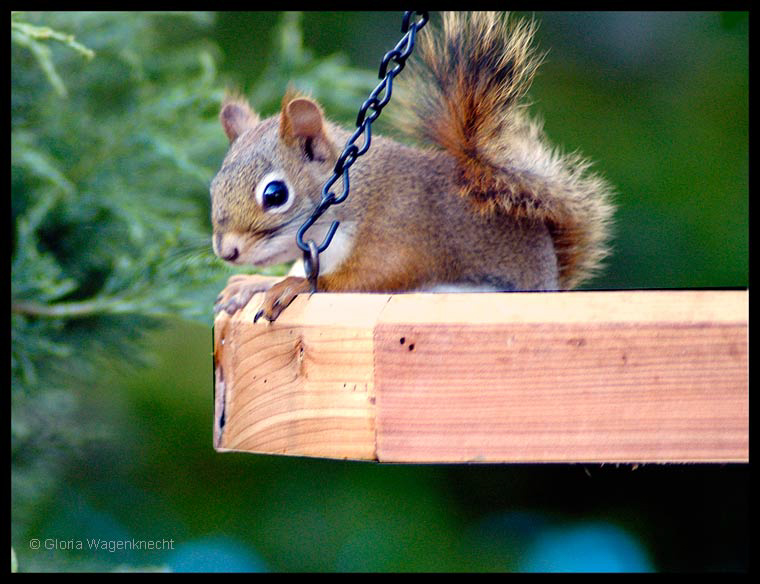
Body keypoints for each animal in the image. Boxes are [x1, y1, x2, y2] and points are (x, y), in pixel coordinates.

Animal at [211, 12, 614, 322]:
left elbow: (374, 277)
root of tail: (553, 281)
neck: (356, 194)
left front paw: (292, 286)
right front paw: (251, 284)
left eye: (275, 194)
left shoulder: (399, 233)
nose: (228, 253)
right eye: (213, 188)